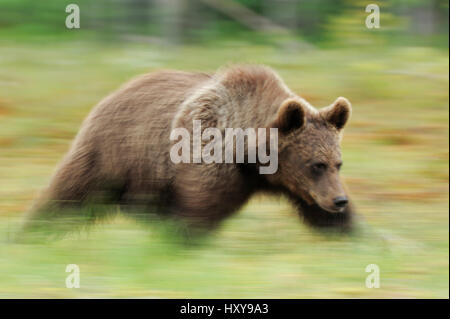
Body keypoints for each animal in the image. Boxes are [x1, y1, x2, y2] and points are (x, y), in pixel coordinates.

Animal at [23, 65, 356, 235]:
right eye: (316, 164)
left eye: (338, 163)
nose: (339, 200)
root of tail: (114, 93)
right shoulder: (208, 154)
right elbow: (199, 212)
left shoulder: (298, 186)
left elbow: (323, 216)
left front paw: (352, 235)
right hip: (112, 153)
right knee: (69, 196)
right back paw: (31, 232)